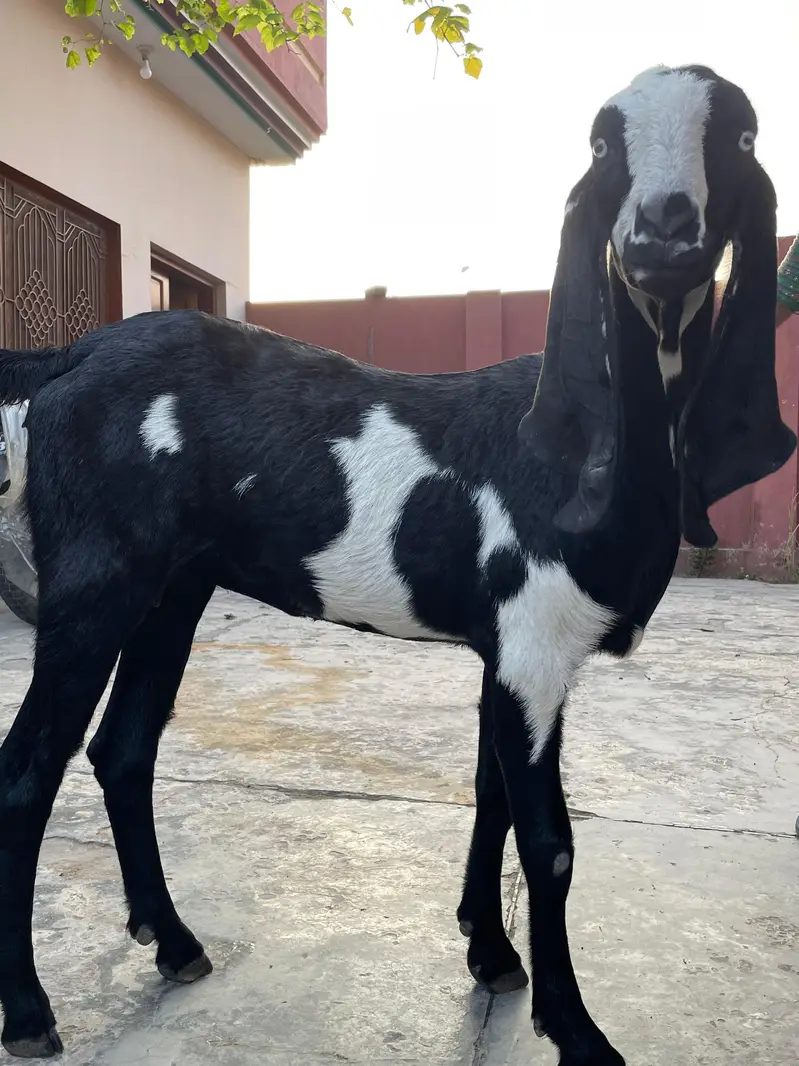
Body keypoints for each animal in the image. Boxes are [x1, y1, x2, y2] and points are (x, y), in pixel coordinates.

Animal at [0, 65, 794, 1064]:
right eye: (601, 142)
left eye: (740, 136)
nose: (662, 230)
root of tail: (68, 358)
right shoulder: (533, 646)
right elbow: (548, 840)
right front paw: (576, 1031)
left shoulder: (510, 654)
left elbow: (492, 798)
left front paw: (489, 953)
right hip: (94, 582)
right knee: (30, 767)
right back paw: (30, 1013)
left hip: (171, 588)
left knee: (123, 748)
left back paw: (174, 943)